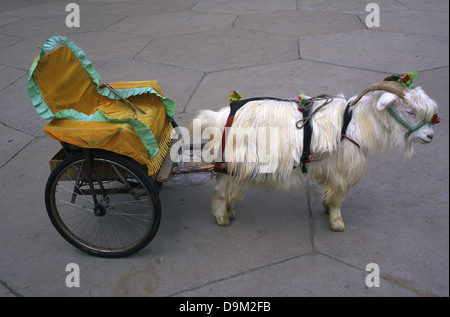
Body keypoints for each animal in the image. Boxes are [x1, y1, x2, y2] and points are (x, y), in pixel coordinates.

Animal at [195, 76, 438, 230]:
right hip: (234, 160)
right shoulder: (343, 170)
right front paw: (337, 222)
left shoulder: (330, 169)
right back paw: (222, 217)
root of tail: (217, 117)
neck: (354, 123)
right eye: (410, 111)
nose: (430, 136)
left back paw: (230, 210)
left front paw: (326, 208)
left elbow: (330, 192)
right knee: (220, 190)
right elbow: (338, 196)